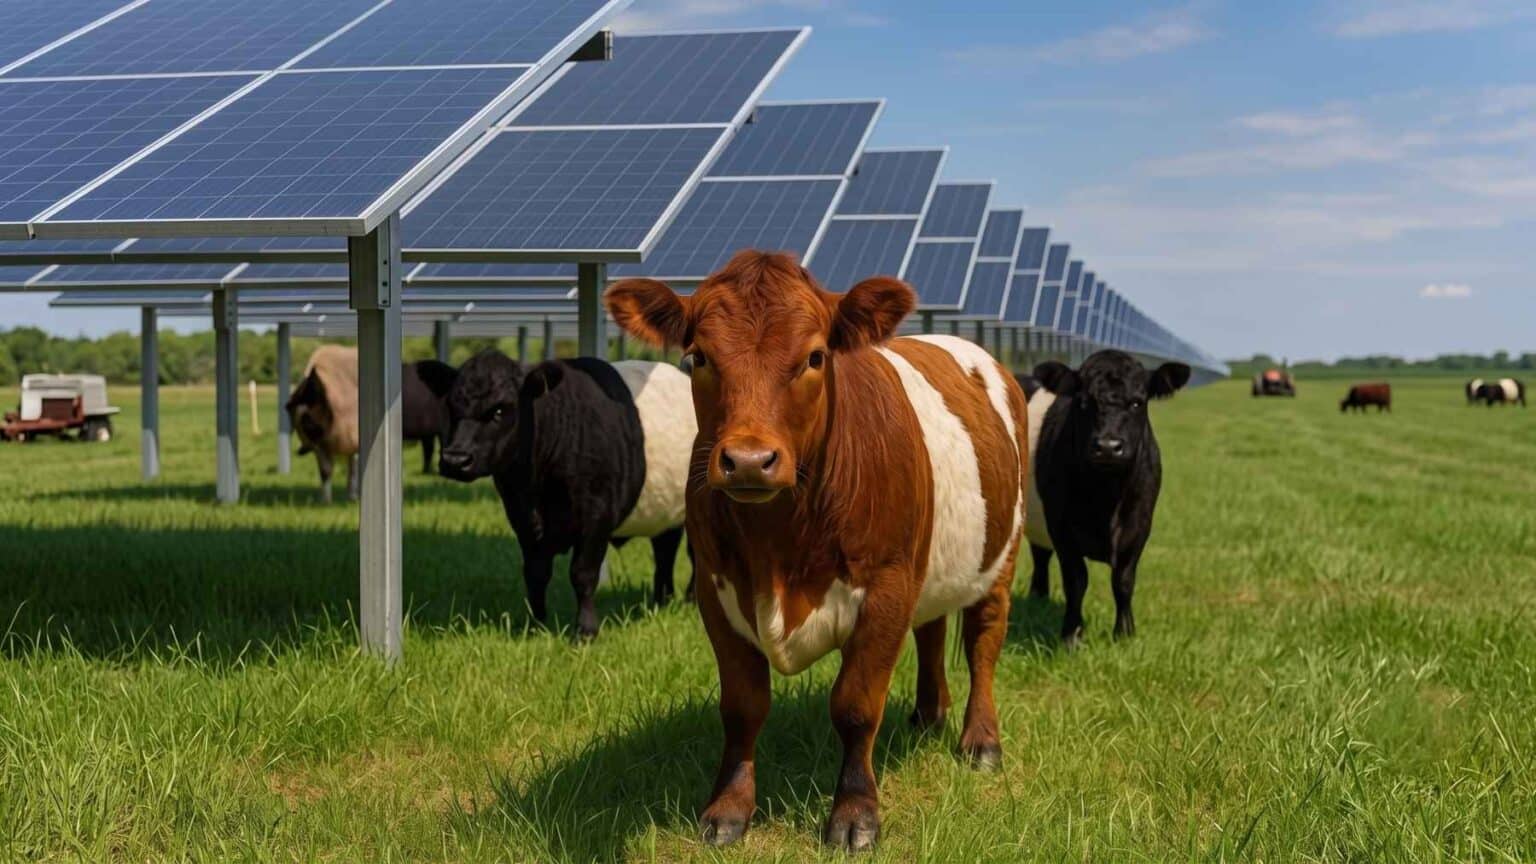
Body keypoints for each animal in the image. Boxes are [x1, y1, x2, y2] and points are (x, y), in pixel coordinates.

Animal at [286, 347, 456, 501]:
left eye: (307, 418)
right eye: (292, 416)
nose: (302, 450)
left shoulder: (353, 434)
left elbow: (356, 466)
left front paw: (355, 496)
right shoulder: (323, 444)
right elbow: (326, 471)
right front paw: (327, 501)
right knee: (429, 448)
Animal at [437, 350, 695, 639]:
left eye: (500, 409)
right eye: (450, 406)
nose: (455, 459)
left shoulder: (596, 517)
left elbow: (583, 574)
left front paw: (585, 630)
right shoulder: (522, 518)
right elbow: (536, 573)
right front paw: (535, 625)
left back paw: (690, 600)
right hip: (667, 511)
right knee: (665, 552)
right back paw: (662, 601)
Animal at [604, 251, 1029, 852]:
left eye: (814, 356)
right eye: (699, 356)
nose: (749, 460)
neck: (778, 544)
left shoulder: (886, 589)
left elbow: (855, 705)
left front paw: (855, 815)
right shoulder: (714, 589)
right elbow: (743, 706)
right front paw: (728, 810)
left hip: (1002, 555)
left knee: (982, 640)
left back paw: (981, 741)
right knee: (931, 630)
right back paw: (928, 714)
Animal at [1018, 354, 1189, 647]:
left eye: (1137, 402)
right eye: (1083, 402)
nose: (1108, 446)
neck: (1105, 496)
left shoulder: (1140, 525)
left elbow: (1123, 580)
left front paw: (1125, 634)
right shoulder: (1061, 527)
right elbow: (1076, 580)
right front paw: (1071, 636)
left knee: (1040, 554)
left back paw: (1038, 599)